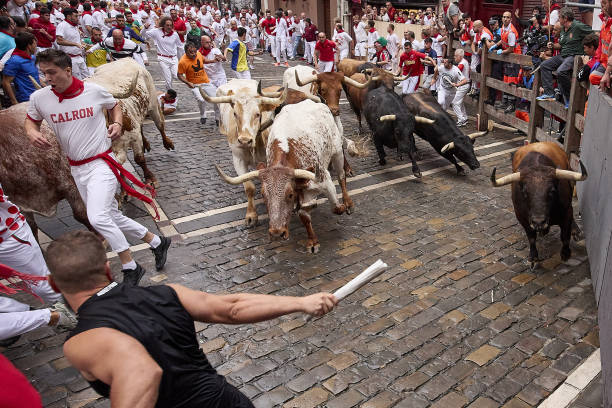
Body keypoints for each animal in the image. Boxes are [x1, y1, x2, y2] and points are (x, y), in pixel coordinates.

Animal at [215, 99, 354, 252]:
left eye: (290, 194)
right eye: (263, 195)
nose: (276, 233)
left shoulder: (325, 181)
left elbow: (336, 208)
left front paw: (337, 207)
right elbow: (304, 216)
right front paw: (312, 241)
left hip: (337, 152)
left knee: (341, 177)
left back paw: (348, 202)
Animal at [490, 142, 584, 270]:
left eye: (552, 191)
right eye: (524, 192)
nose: (539, 222)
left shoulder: (567, 211)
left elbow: (565, 236)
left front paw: (566, 253)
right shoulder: (522, 217)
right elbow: (531, 238)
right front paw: (533, 258)